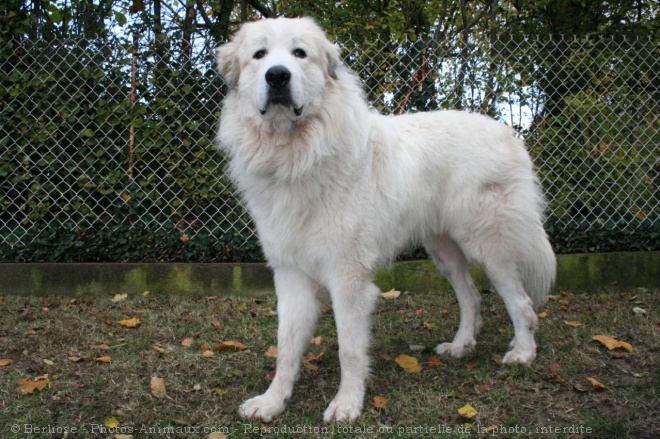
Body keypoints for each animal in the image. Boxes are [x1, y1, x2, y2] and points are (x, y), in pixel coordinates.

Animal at [215, 16, 552, 422]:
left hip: (490, 246)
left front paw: (346, 404)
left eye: (299, 53)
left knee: (521, 303)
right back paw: (461, 346)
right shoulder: (291, 275)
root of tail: (508, 132)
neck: (297, 154)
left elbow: (349, 349)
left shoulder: (349, 278)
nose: (278, 76)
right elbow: (286, 347)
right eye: (259, 55)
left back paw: (523, 353)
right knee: (471, 296)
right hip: (444, 250)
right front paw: (273, 402)